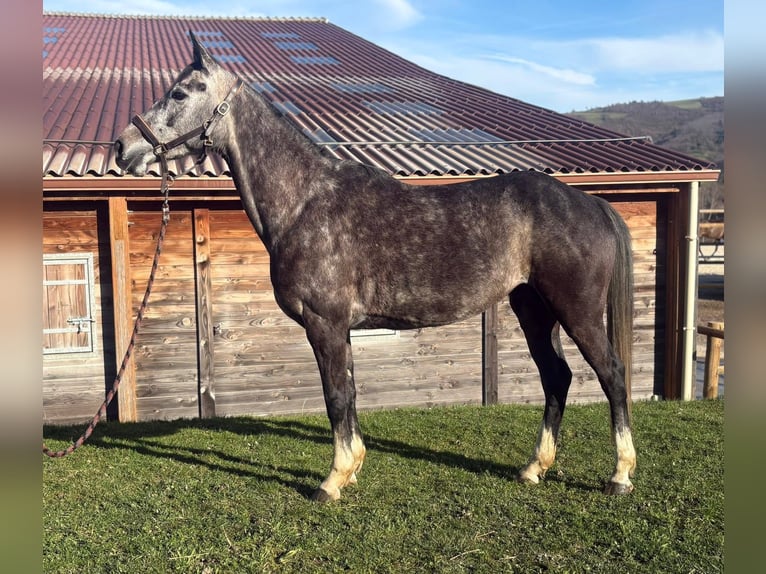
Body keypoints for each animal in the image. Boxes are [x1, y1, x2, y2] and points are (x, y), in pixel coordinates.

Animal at [115, 32, 636, 501]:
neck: (305, 201)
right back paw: (534, 469)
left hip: (577, 312)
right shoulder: (339, 328)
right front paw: (352, 469)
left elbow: (335, 397)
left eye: (179, 93)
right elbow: (348, 394)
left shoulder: (324, 323)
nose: (123, 147)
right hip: (534, 311)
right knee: (556, 378)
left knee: (611, 374)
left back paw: (620, 475)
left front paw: (332, 480)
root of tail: (591, 203)